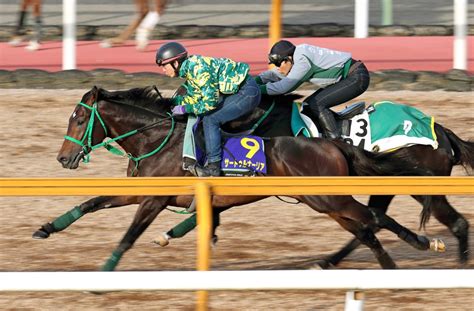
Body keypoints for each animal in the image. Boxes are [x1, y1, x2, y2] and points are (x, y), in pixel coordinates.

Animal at [33, 85, 444, 270]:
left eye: (79, 119)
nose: (63, 158)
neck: (156, 139)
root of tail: (330, 143)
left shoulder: (154, 199)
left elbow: (130, 234)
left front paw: (107, 269)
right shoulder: (141, 192)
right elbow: (91, 202)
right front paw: (46, 228)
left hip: (329, 198)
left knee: (373, 218)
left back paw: (418, 246)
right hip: (324, 201)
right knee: (366, 227)